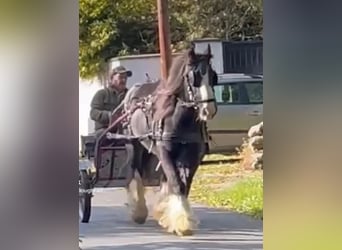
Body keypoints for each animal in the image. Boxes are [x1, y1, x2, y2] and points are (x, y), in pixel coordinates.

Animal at [121, 43, 216, 236]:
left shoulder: (192, 155)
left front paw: (177, 216)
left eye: (213, 76)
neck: (180, 119)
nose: (208, 109)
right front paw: (182, 223)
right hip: (134, 144)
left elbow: (183, 185)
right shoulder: (165, 151)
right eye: (193, 77)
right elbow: (176, 183)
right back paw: (139, 211)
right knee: (135, 172)